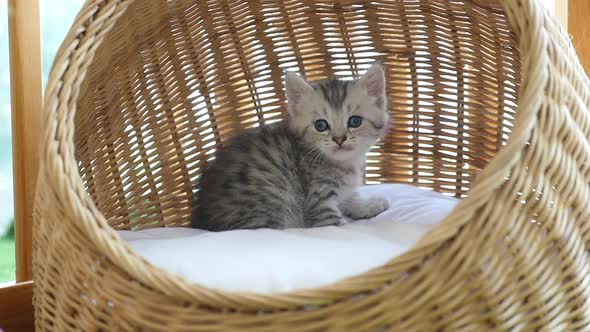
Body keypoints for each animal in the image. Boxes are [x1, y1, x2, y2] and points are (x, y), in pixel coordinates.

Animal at [192, 62, 390, 230]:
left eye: (355, 121)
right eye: (321, 125)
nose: (339, 139)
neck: (345, 164)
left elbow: (349, 197)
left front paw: (369, 205)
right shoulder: (319, 204)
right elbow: (339, 227)